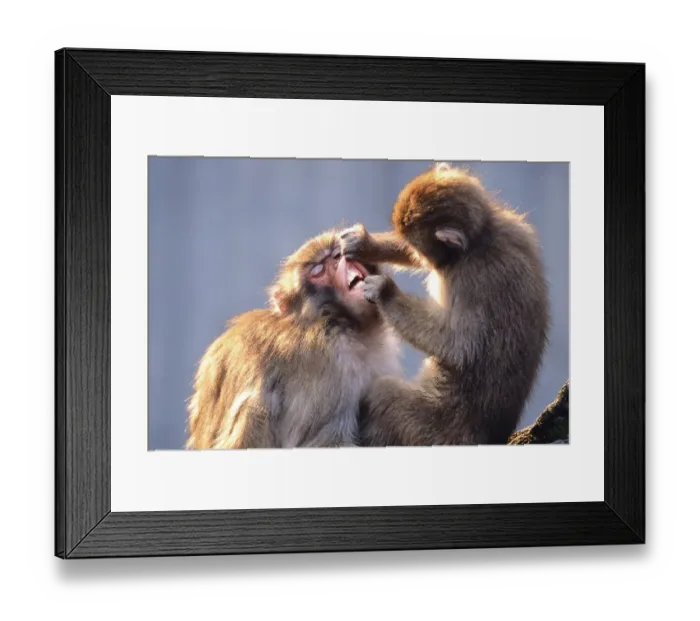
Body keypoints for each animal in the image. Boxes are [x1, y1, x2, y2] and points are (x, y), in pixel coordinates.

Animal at [185, 229, 401, 450]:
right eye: (318, 271)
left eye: (336, 255)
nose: (338, 263)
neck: (344, 323)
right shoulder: (328, 360)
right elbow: (323, 442)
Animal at [340, 163, 550, 446]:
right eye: (410, 245)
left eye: (418, 247)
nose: (415, 252)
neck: (480, 240)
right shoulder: (519, 232)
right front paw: (365, 244)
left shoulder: (473, 279)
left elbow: (460, 347)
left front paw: (384, 292)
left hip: (433, 431)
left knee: (382, 396)